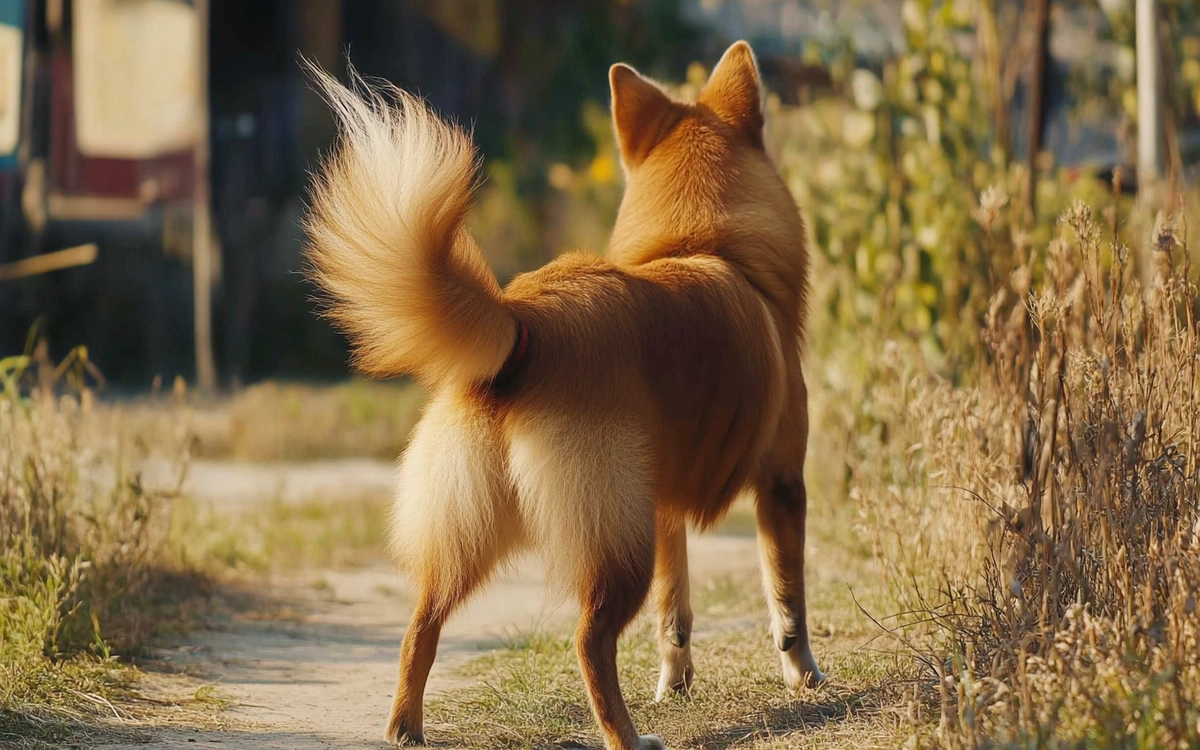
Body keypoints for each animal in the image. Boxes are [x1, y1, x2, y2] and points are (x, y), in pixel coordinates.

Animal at [304, 40, 820, 748]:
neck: (704, 246)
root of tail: (525, 324)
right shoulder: (782, 484)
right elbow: (788, 600)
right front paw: (804, 675)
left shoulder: (664, 508)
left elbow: (675, 614)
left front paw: (676, 683)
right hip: (616, 540)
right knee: (589, 643)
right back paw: (627, 736)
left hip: (474, 531)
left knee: (421, 627)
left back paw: (406, 726)